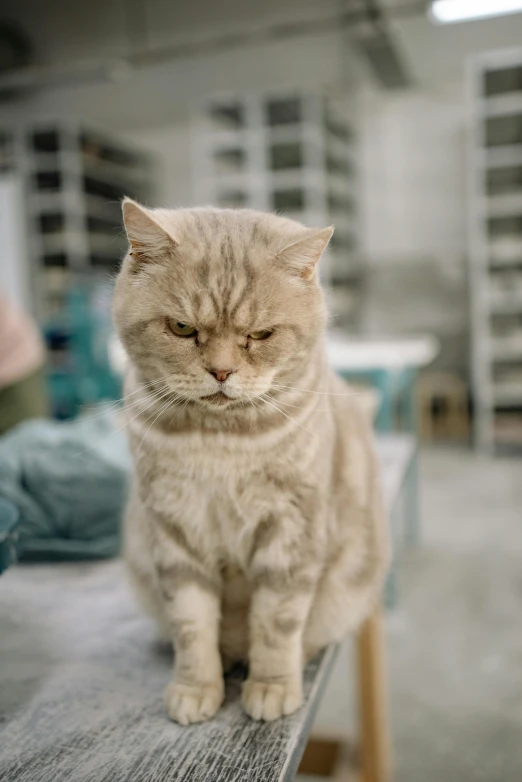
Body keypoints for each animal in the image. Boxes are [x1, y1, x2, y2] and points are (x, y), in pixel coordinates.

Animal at [115, 199, 390, 724]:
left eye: (260, 334)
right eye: (182, 328)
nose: (221, 371)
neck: (221, 442)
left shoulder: (291, 531)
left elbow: (276, 623)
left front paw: (272, 686)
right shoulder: (176, 532)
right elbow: (191, 624)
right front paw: (196, 687)